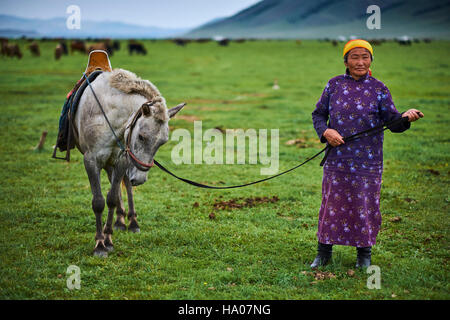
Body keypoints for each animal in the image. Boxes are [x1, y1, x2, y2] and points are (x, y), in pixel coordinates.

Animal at [74, 69, 185, 256]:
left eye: (162, 142)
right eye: (141, 136)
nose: (140, 179)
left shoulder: (122, 160)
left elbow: (112, 198)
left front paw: (108, 240)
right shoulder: (91, 161)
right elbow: (98, 202)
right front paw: (100, 244)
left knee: (124, 184)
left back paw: (130, 221)